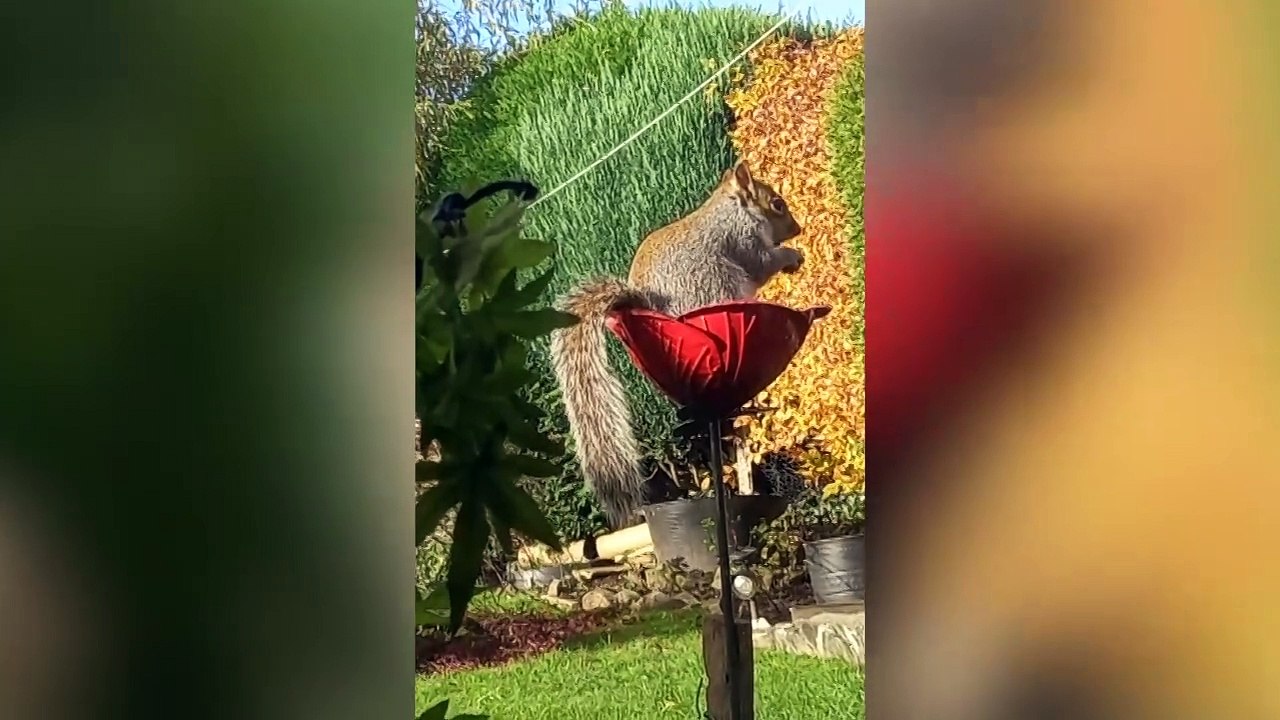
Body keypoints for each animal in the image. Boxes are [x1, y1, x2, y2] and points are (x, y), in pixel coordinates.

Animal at [549, 160, 804, 528]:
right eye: (777, 204)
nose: (798, 229)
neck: (731, 211)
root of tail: (647, 307)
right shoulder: (745, 243)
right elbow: (762, 263)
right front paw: (790, 256)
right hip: (717, 284)